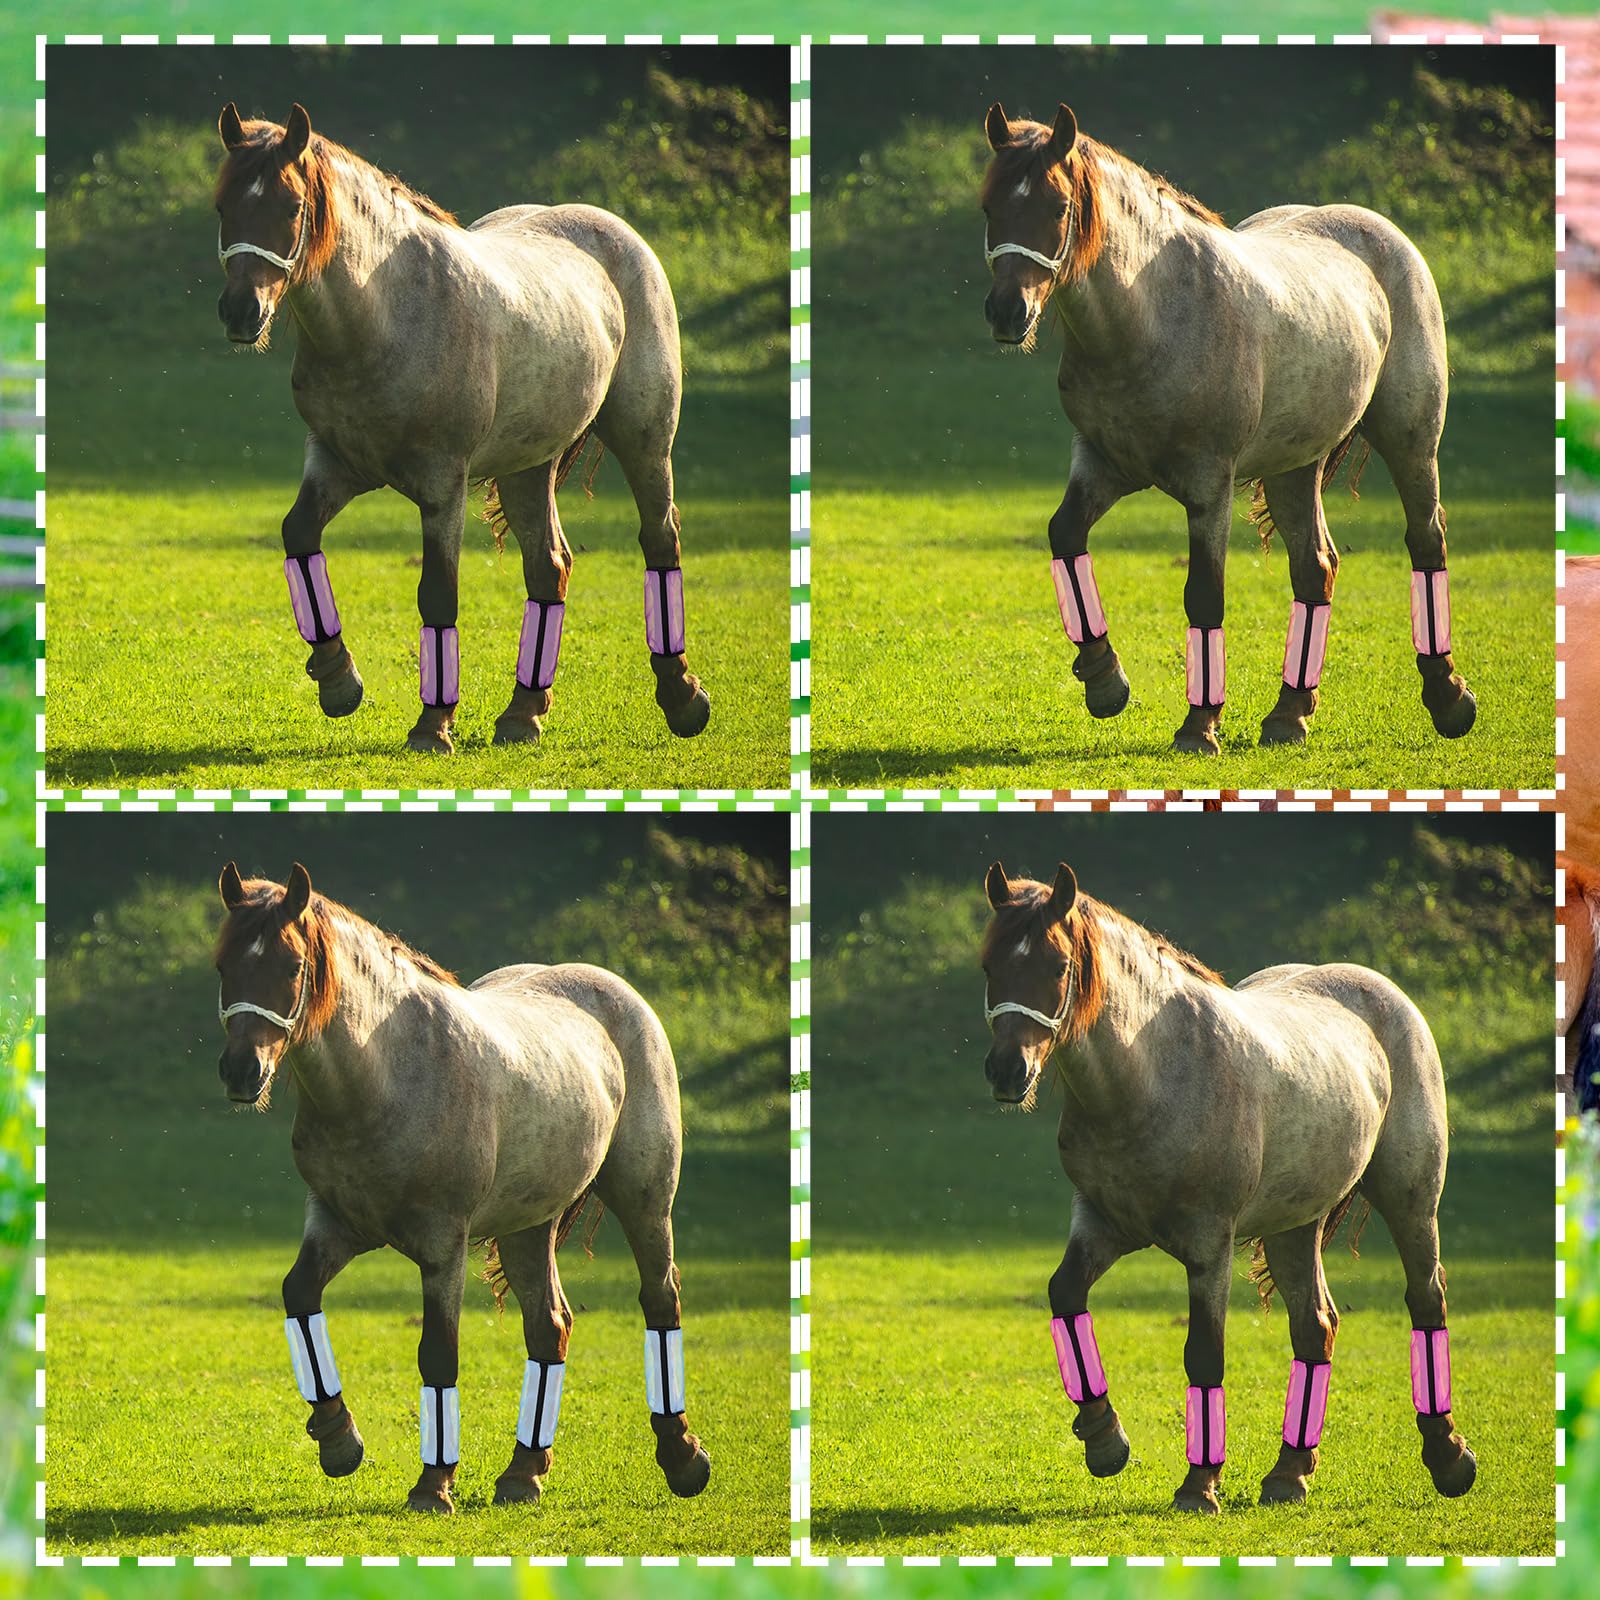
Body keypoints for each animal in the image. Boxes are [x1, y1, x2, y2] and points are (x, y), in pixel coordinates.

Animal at [213, 102, 711, 755]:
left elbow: (438, 593)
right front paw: (338, 679)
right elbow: (298, 534)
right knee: (548, 567)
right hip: (528, 467)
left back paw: (682, 698)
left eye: (292, 207)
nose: (241, 311)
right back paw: (523, 714)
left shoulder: (442, 487)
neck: (385, 316)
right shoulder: (336, 464)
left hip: (646, 442)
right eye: (223, 206)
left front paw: (432, 725)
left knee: (660, 539)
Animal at [213, 862, 711, 1513]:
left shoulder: (442, 1247)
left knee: (660, 1300)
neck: (387, 1076)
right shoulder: (336, 1224)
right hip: (529, 1227)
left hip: (646, 1202)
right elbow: (299, 1294)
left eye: (292, 966)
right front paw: (338, 1439)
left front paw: (433, 1484)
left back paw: (682, 1457)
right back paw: (523, 1474)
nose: (241, 1071)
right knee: (549, 1326)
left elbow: (438, 1354)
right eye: (223, 965)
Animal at [979, 860, 1476, 1513]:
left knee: (1426, 1299)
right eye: (990, 966)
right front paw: (1104, 1439)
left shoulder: (1208, 1246)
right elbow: (1065, 1294)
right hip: (1295, 1227)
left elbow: (1204, 1354)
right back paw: (1289, 1474)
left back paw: (1448, 1457)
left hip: (1412, 1203)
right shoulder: (1103, 1224)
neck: (1153, 1077)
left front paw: (1199, 1484)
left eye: (1058, 966)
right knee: (1314, 1327)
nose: (1008, 1070)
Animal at [980, 103, 1477, 755]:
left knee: (1427, 540)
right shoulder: (1103, 464)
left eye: (1058, 207)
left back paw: (1448, 698)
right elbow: (1065, 534)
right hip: (1295, 468)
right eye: (989, 206)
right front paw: (1104, 679)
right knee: (1314, 568)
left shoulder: (1208, 488)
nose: (1007, 311)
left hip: (1412, 442)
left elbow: (1204, 594)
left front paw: (1199, 725)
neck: (1152, 318)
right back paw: (1289, 714)